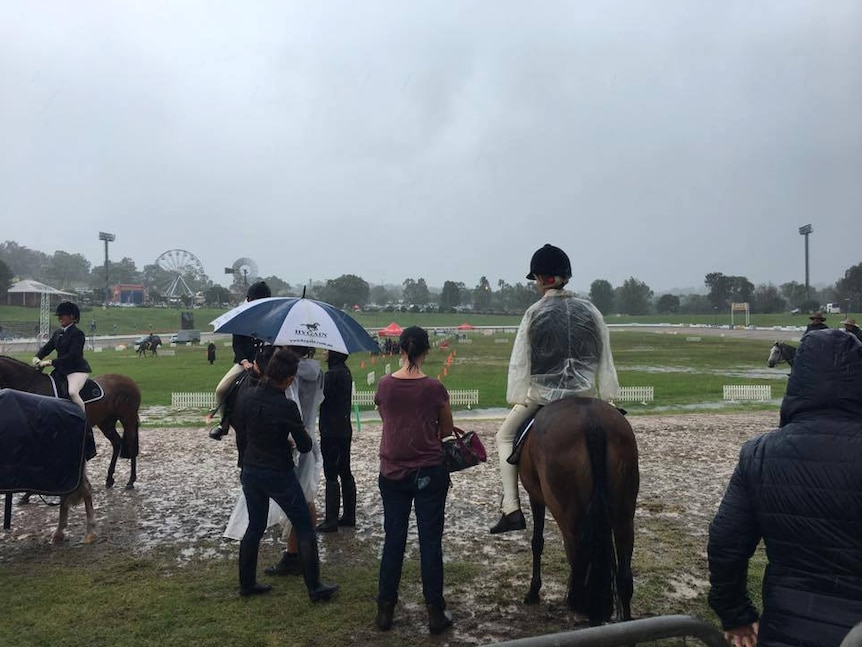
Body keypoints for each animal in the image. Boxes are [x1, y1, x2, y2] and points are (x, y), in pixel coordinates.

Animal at [0, 356, 141, 488]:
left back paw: (131, 481)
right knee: (117, 443)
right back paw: (109, 479)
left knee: (131, 445)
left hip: (127, 419)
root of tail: (129, 381)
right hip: (106, 423)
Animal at [516, 398, 636, 624]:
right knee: (624, 577)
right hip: (624, 518)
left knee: (585, 576)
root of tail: (592, 422)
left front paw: (533, 591)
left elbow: (537, 542)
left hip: (571, 525)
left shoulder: (536, 496)